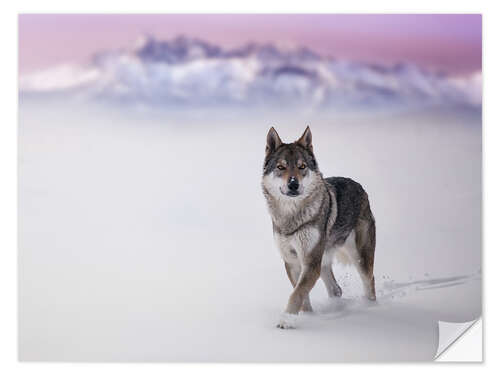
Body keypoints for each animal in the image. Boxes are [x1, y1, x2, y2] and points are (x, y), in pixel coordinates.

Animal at [262, 127, 376, 328]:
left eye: (302, 167)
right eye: (281, 167)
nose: (293, 184)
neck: (292, 217)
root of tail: (360, 187)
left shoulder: (310, 262)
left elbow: (297, 293)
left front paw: (286, 320)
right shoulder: (292, 262)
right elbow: (302, 295)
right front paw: (307, 317)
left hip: (358, 259)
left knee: (370, 281)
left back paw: (370, 308)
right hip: (323, 262)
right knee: (336, 289)